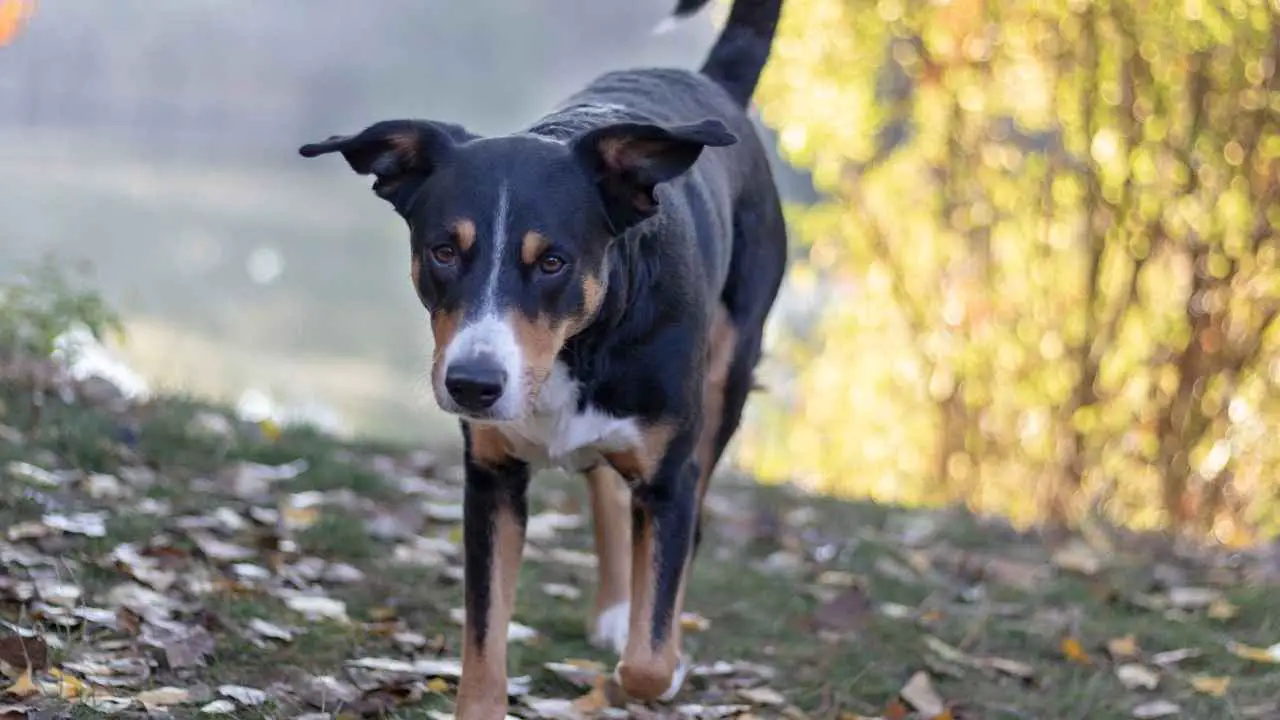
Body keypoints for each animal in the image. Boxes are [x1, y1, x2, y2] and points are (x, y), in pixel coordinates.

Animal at [296, 0, 788, 712]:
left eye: (552, 262)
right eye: (444, 251)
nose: (473, 384)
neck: (578, 346)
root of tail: (712, 83)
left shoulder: (670, 479)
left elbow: (649, 657)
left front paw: (659, 660)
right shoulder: (491, 479)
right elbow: (483, 641)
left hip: (729, 378)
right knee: (607, 491)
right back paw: (614, 606)